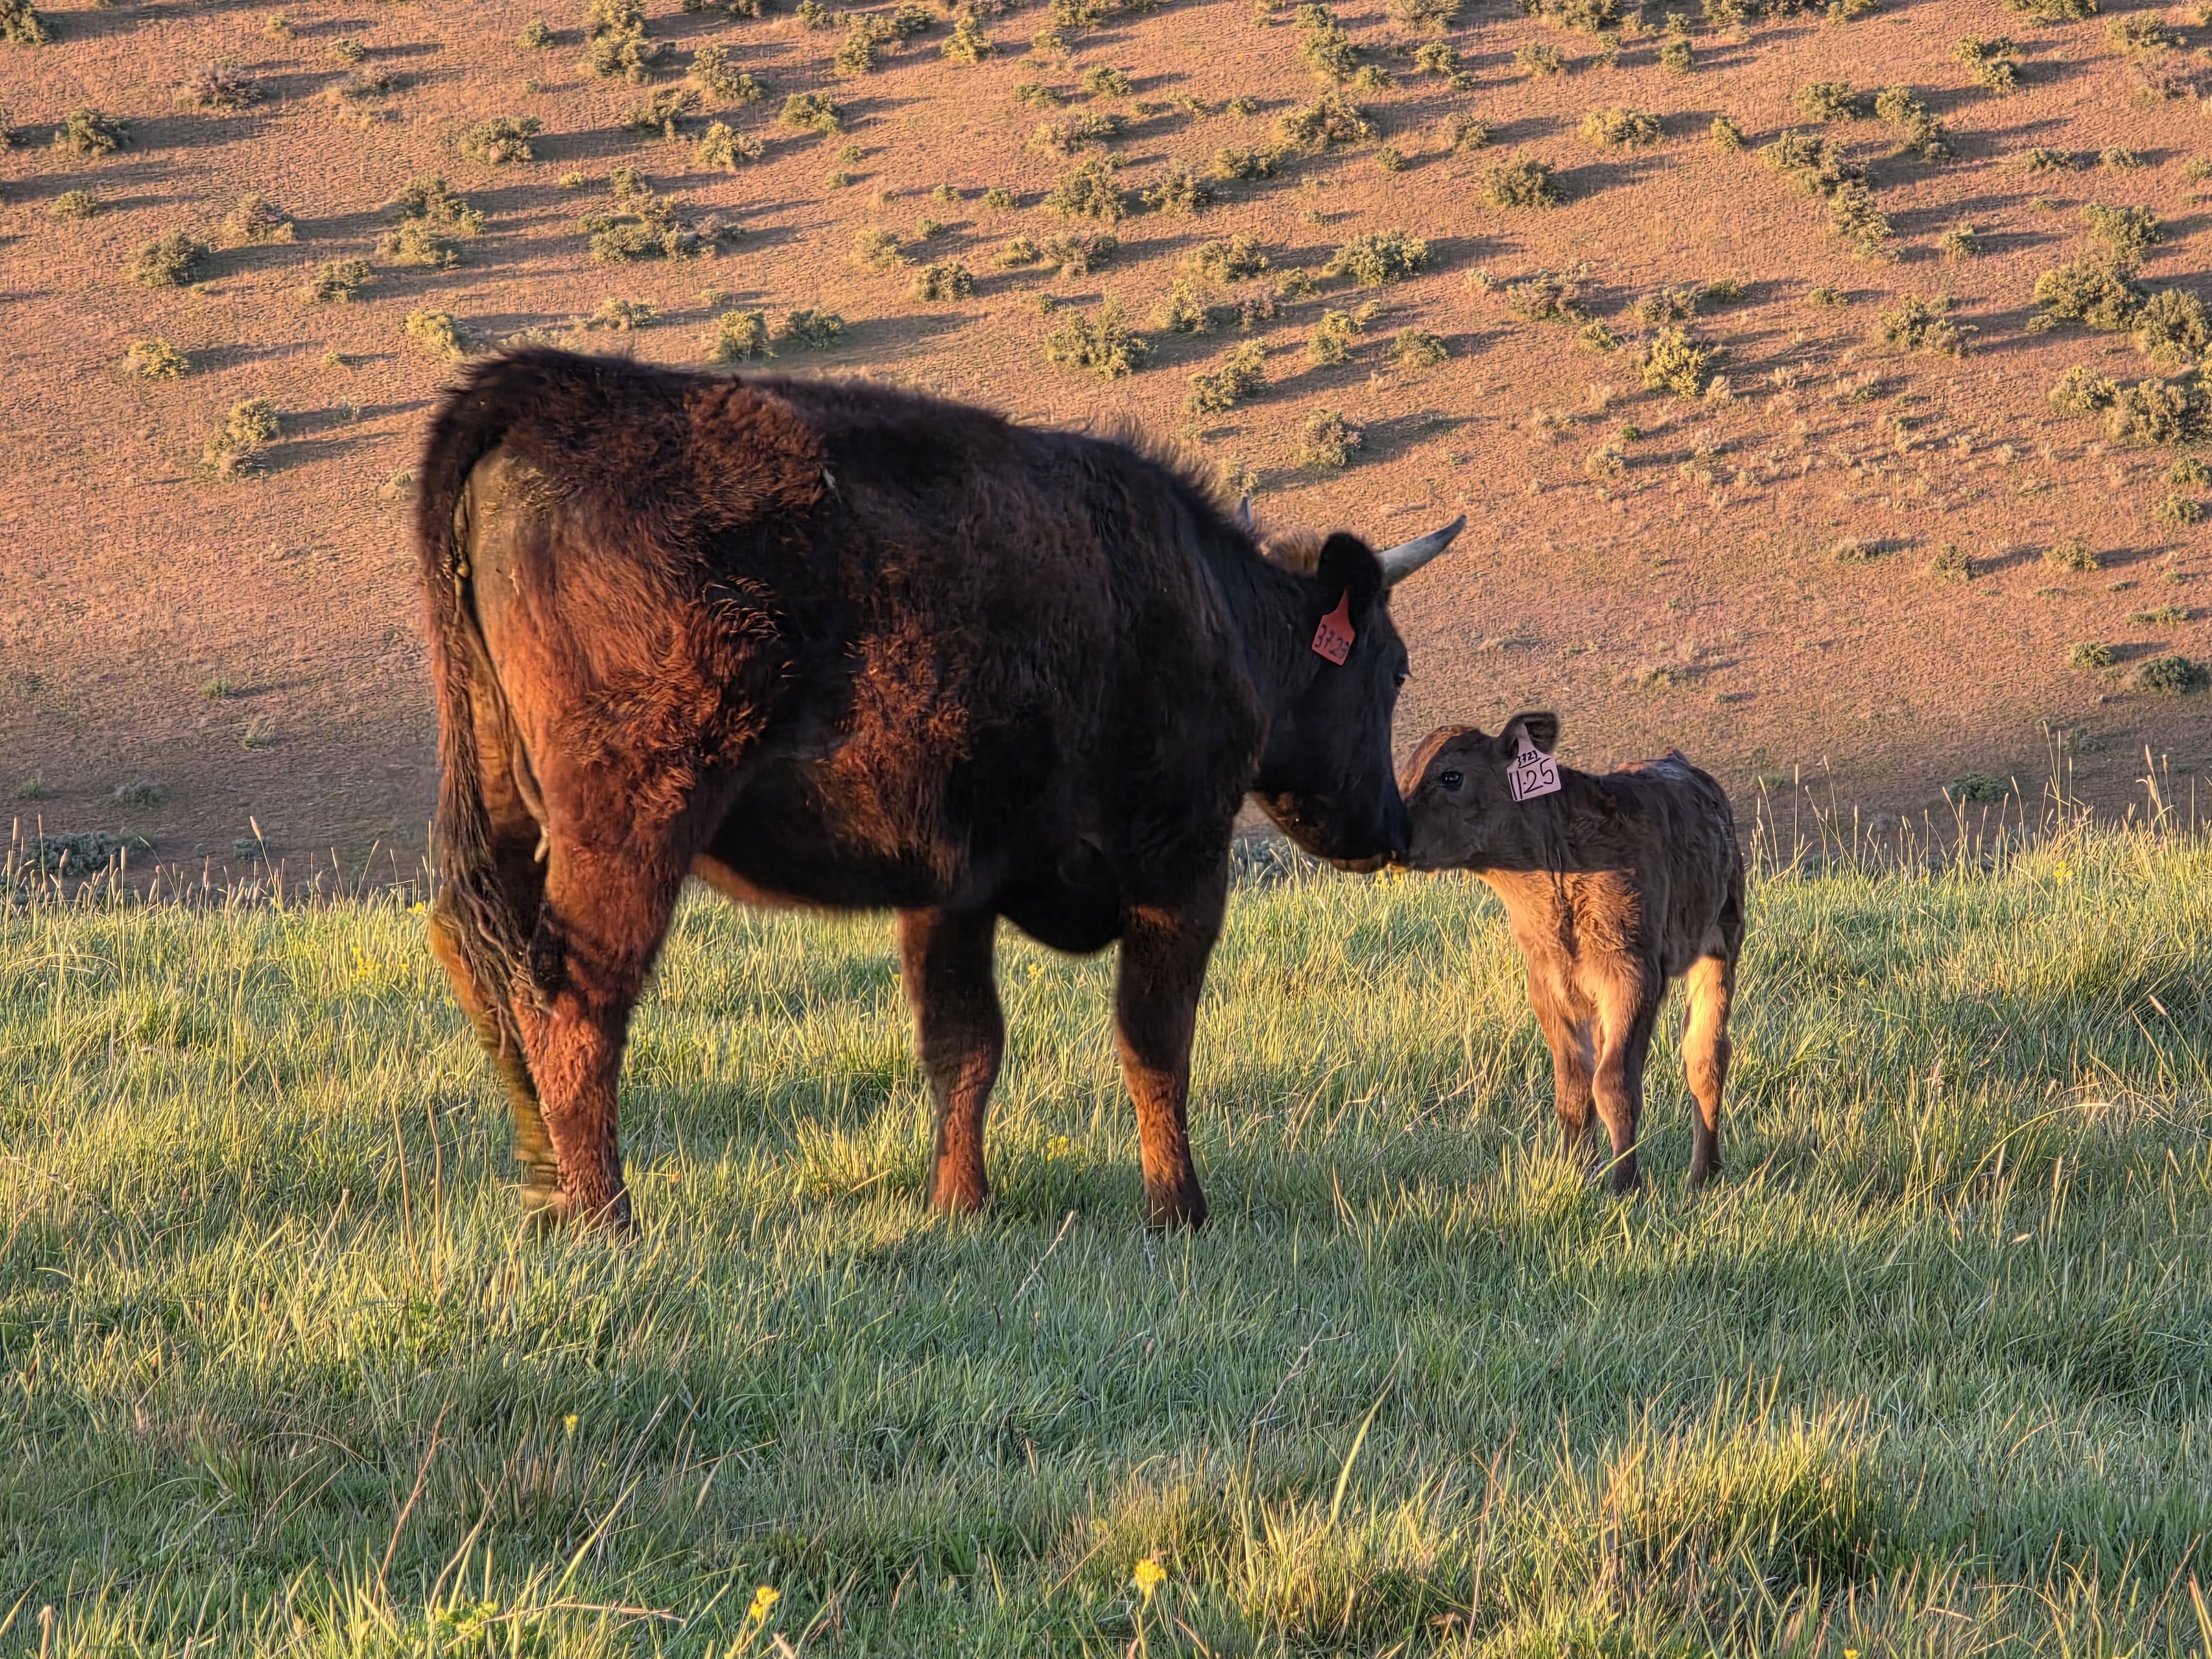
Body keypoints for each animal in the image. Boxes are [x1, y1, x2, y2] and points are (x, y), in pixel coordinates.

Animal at [418, 349, 1461, 1231]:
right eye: (1395, 667)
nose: (1391, 830)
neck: (1213, 605)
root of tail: (545, 386)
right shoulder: (1181, 864)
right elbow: (1153, 1041)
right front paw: (1180, 1212)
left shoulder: (952, 885)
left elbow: (963, 1046)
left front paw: (961, 1205)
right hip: (630, 819)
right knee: (574, 1005)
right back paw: (608, 1219)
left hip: (503, 802)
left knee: (486, 972)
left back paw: (548, 1198)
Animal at [1397, 714, 1744, 1191]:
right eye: (1404, 774)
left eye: (1451, 776)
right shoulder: (1548, 981)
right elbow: (1575, 1090)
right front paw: (1577, 1177)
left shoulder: (1635, 975)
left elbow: (1615, 1085)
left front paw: (1625, 1186)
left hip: (1723, 935)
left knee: (1705, 1056)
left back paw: (1702, 1175)